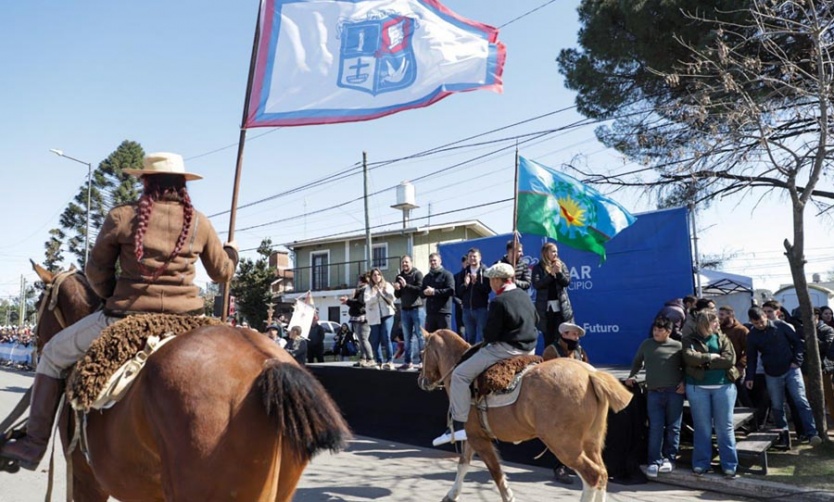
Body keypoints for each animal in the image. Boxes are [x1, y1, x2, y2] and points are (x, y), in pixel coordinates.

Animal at [416, 330, 632, 502]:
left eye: (422, 353)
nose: (421, 381)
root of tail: (590, 374)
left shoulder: (479, 440)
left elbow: (496, 472)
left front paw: (508, 496)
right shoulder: (474, 435)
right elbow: (463, 464)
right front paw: (452, 494)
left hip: (565, 445)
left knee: (592, 476)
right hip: (591, 443)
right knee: (602, 475)